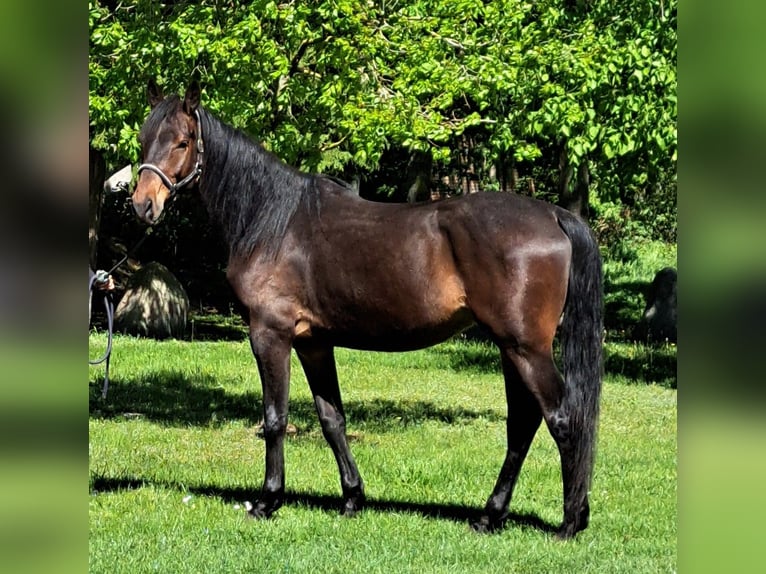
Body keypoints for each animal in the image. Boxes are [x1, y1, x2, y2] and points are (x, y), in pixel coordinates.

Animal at [132, 81, 604, 540]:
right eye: (143, 139)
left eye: (182, 141)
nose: (142, 204)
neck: (271, 222)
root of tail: (553, 216)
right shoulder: (314, 343)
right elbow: (331, 418)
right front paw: (353, 499)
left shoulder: (271, 334)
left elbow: (275, 418)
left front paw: (267, 501)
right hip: (511, 349)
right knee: (522, 425)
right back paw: (491, 516)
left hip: (525, 348)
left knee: (562, 419)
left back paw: (569, 523)